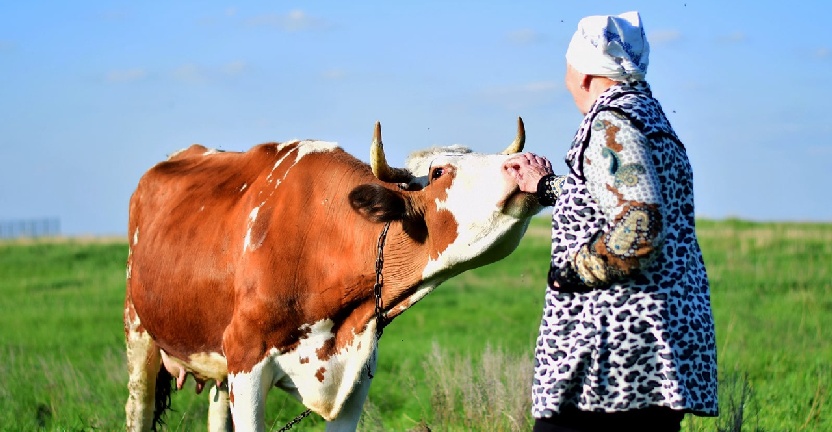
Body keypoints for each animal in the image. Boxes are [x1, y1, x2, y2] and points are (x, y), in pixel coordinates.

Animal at [122, 119, 540, 432]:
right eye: (439, 172)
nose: (529, 161)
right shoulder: (246, 359)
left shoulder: (356, 375)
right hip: (139, 333)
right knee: (137, 408)